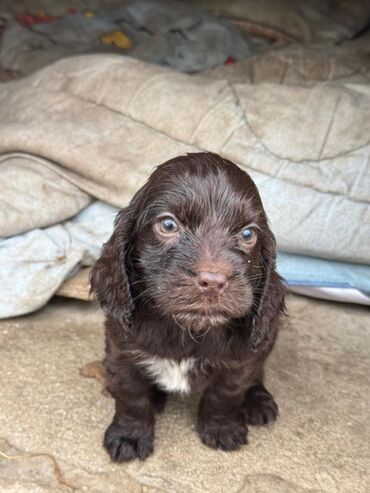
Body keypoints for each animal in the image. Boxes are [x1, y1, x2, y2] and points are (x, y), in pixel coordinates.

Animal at [90, 151, 286, 462]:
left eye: (247, 234)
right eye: (168, 225)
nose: (213, 281)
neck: (187, 329)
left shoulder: (242, 357)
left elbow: (226, 392)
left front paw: (221, 428)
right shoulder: (121, 350)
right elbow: (130, 395)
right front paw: (130, 434)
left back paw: (258, 401)